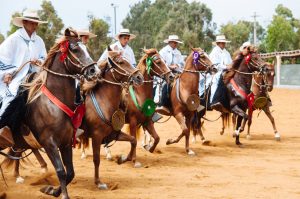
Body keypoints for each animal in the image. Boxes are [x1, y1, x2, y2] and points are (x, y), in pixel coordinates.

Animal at [0, 28, 96, 199]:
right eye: (75, 49)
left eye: (86, 47)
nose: (93, 70)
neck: (52, 105)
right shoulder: (49, 142)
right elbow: (61, 171)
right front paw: (62, 194)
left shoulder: (66, 142)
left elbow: (70, 172)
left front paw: (51, 190)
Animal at [81, 47, 144, 190]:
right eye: (121, 62)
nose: (139, 77)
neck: (104, 101)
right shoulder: (97, 136)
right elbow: (96, 159)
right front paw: (98, 182)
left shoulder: (114, 133)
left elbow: (133, 140)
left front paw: (123, 159)